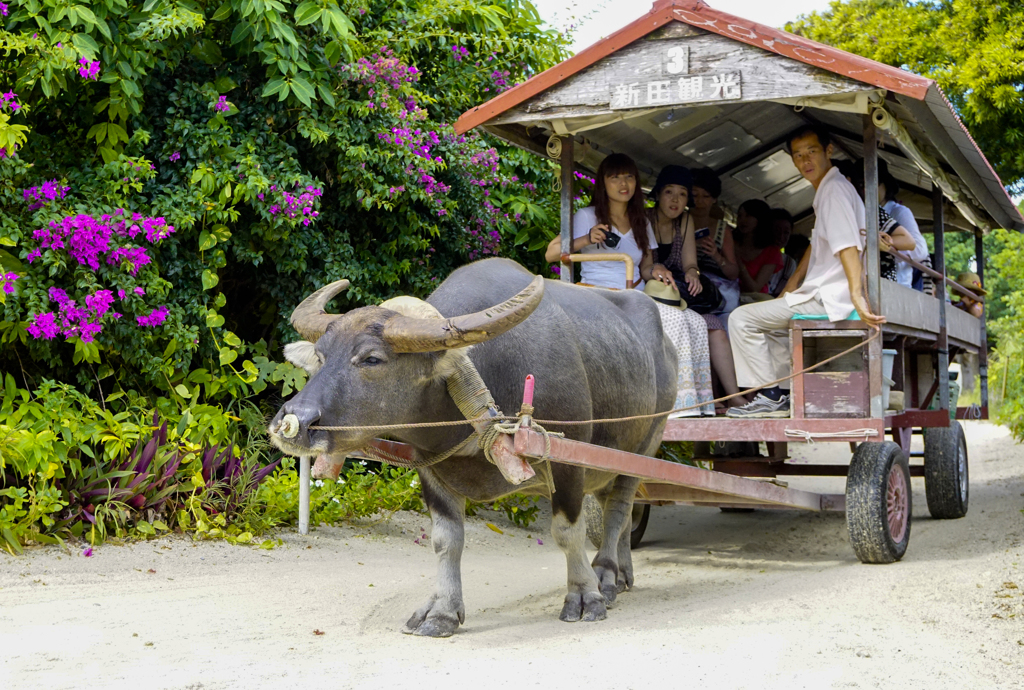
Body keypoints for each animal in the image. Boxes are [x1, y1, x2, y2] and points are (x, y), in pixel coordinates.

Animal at [268, 256, 675, 634]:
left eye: (371, 358)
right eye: (320, 357)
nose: (293, 422)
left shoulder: (567, 462)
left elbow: (567, 532)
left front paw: (585, 596)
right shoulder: (433, 470)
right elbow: (445, 540)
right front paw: (441, 611)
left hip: (644, 446)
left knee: (619, 510)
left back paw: (605, 574)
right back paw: (622, 573)